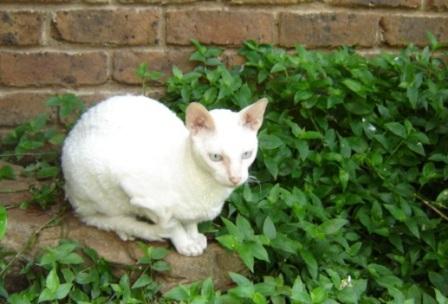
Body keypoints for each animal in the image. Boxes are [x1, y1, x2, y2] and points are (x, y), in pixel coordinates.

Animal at [61, 95, 268, 256]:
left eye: (246, 154)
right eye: (216, 157)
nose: (235, 178)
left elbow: (191, 221)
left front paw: (193, 235)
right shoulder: (139, 194)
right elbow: (172, 224)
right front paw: (185, 243)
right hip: (99, 186)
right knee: (100, 217)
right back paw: (127, 229)